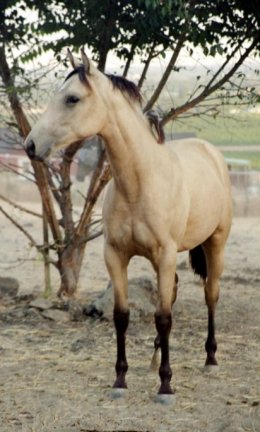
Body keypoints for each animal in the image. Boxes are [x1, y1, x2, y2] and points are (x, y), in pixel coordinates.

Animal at [23, 47, 232, 402]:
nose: (31, 145)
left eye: (72, 98)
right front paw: (120, 380)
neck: (140, 182)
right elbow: (122, 316)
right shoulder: (116, 255)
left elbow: (163, 317)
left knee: (210, 295)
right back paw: (155, 358)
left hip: (214, 244)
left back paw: (211, 359)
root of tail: (211, 153)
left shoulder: (165, 255)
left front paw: (166, 386)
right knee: (173, 292)